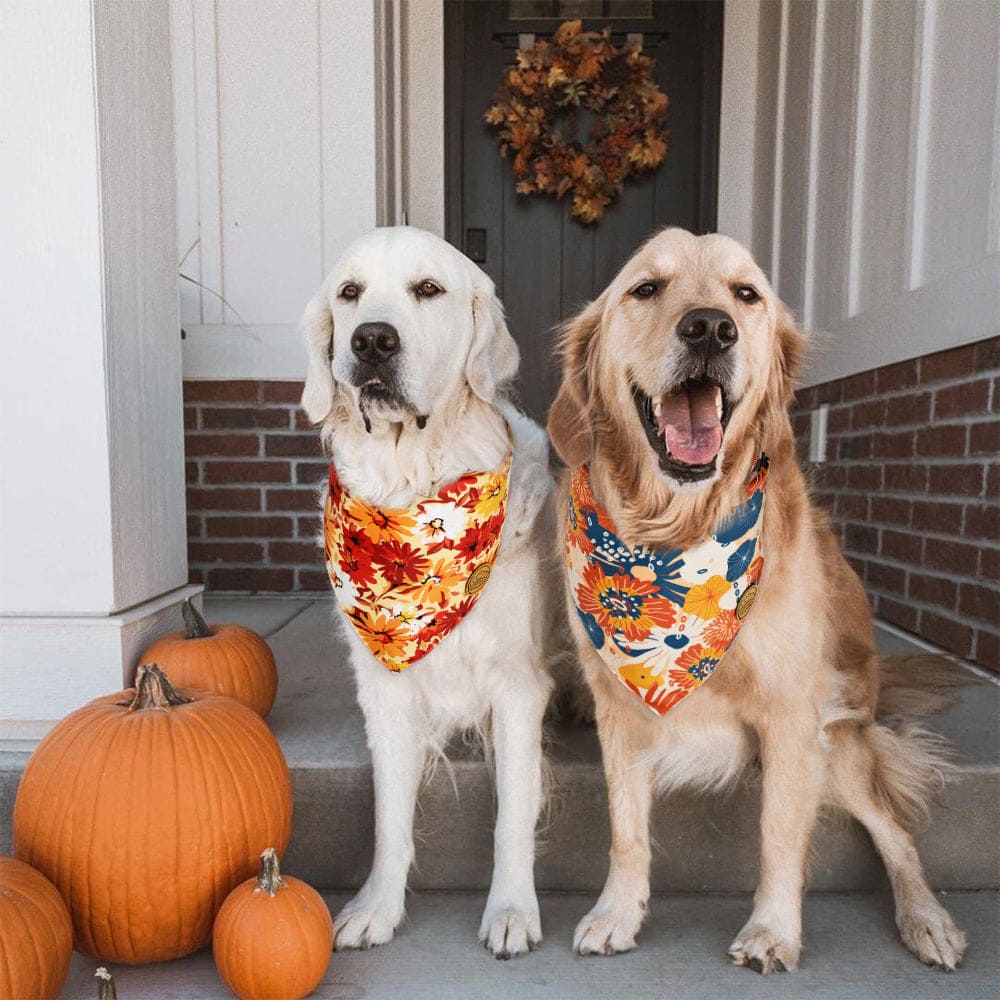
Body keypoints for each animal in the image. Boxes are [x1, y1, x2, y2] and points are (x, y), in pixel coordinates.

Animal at [300, 229, 560, 960]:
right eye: (349, 293)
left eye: (428, 289)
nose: (372, 341)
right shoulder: (385, 693)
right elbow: (390, 815)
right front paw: (376, 908)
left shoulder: (518, 687)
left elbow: (513, 813)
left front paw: (511, 910)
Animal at [552, 227, 964, 968]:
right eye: (645, 288)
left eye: (746, 295)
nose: (710, 328)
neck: (675, 536)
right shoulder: (618, 712)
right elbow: (627, 829)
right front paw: (617, 912)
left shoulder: (790, 718)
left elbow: (779, 836)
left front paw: (772, 929)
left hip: (837, 746)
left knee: (896, 832)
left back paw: (927, 919)